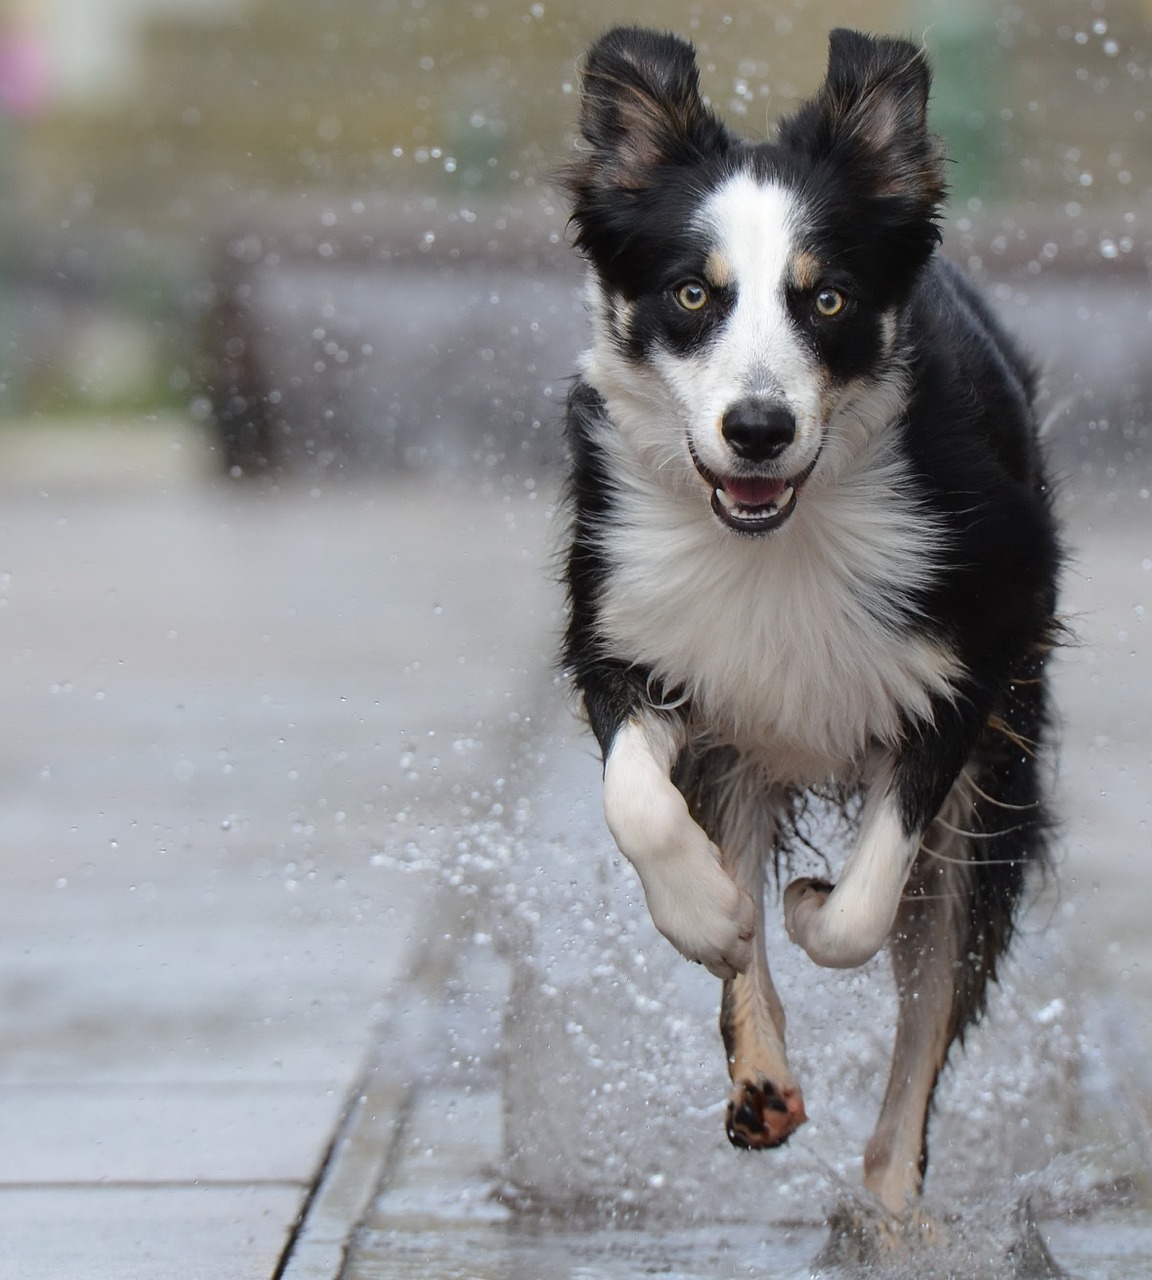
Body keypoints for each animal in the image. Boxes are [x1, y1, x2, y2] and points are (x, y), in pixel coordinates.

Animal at [558, 24, 1059, 1213]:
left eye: (827, 301)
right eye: (692, 296)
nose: (757, 429)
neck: (771, 539)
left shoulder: (974, 653)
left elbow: (869, 900)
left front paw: (807, 905)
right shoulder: (626, 625)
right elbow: (639, 802)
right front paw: (708, 913)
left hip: (1000, 788)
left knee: (931, 997)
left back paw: (889, 1195)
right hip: (741, 746)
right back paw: (762, 1071)